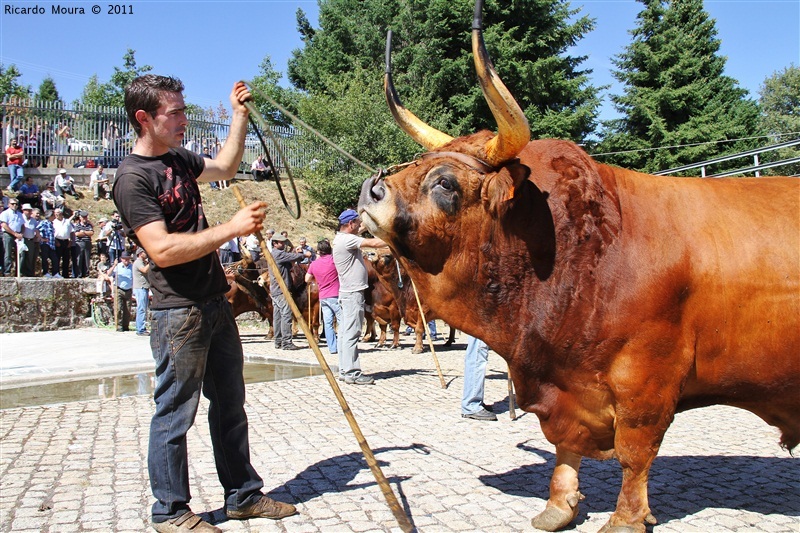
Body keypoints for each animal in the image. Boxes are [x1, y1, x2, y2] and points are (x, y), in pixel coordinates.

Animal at [358, 2, 800, 528]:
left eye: (445, 182)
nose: (371, 190)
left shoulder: (647, 380)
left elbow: (635, 452)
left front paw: (627, 518)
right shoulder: (562, 386)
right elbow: (565, 446)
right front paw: (559, 506)